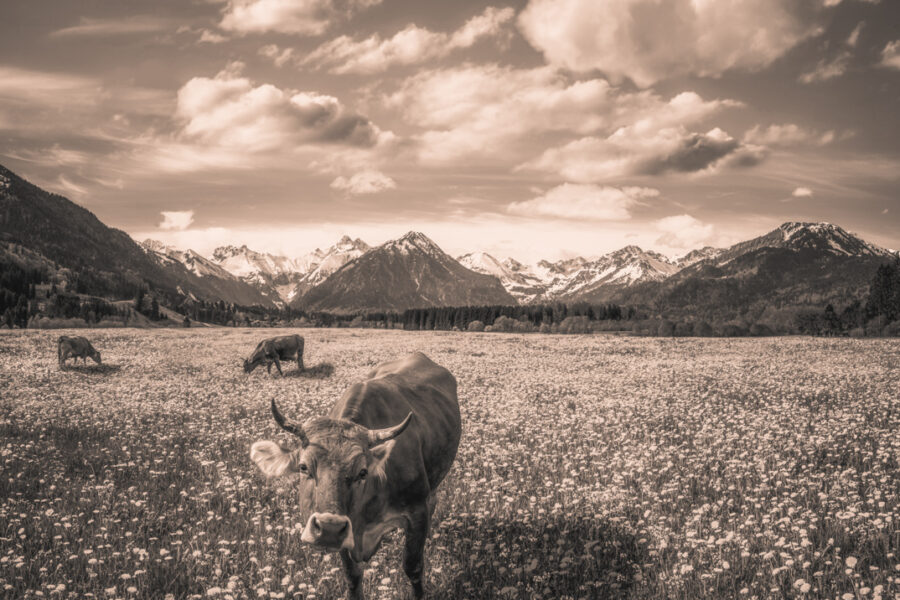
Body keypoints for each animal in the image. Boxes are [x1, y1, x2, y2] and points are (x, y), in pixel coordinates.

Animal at [253, 354, 464, 596]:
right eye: (304, 467)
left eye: (363, 472)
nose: (329, 528)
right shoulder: (347, 531)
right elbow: (352, 576)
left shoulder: (417, 512)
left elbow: (413, 567)